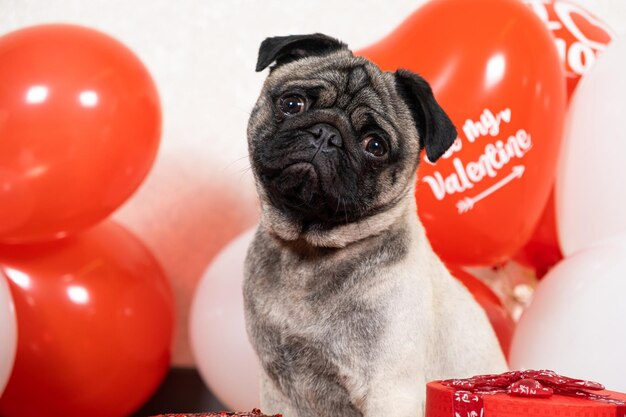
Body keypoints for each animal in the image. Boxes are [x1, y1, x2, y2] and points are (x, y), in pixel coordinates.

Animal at [241, 33, 504, 416]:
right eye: (292, 104)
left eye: (375, 145)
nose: (326, 133)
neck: (308, 252)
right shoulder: (276, 389)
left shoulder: (389, 391)